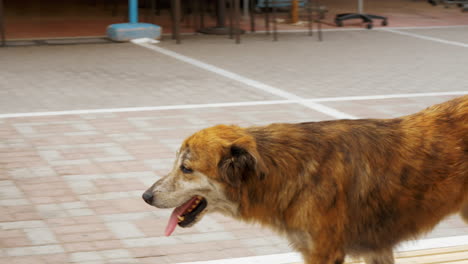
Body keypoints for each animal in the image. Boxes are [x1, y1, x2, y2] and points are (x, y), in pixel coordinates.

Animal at [143, 95, 468, 264]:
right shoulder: (375, 250)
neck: (288, 172)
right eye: (176, 163)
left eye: (186, 168)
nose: (145, 196)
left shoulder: (325, 253)